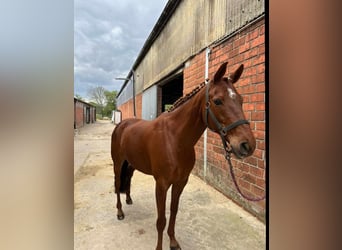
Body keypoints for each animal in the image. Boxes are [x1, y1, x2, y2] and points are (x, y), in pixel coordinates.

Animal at [111, 62, 255, 250]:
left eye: (241, 100)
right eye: (218, 101)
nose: (247, 145)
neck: (174, 139)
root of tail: (122, 124)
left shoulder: (180, 182)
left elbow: (173, 211)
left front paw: (173, 242)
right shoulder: (161, 184)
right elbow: (161, 220)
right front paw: (159, 247)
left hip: (131, 163)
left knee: (128, 178)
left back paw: (128, 199)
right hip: (118, 162)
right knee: (118, 183)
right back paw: (120, 212)